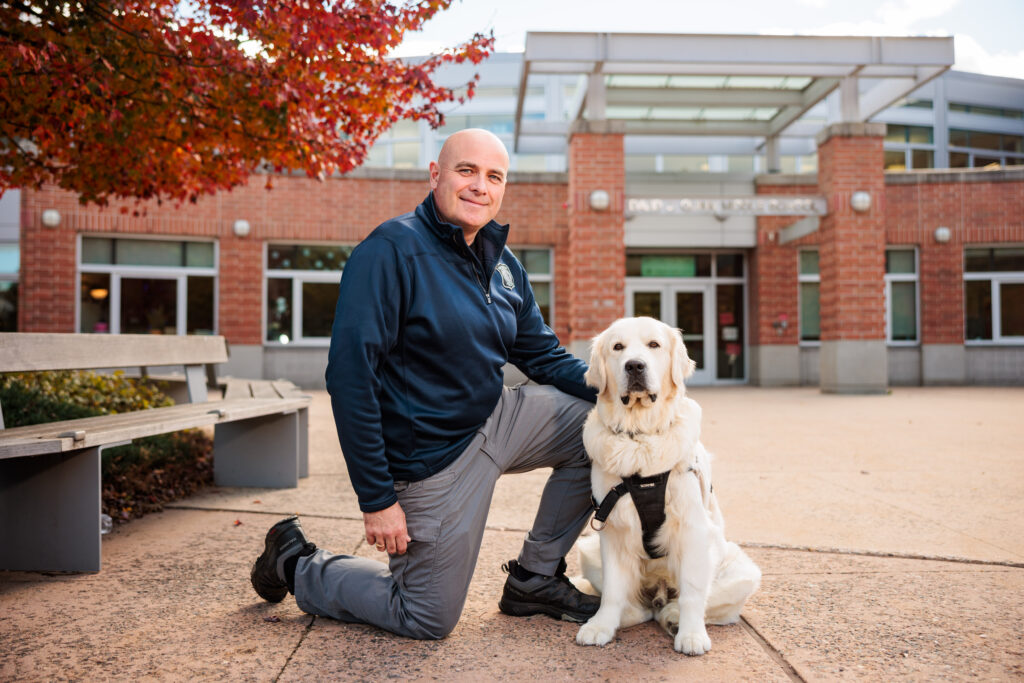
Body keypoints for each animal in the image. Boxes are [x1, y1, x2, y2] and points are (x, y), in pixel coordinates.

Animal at [577, 317, 761, 655]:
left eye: (654, 345)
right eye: (618, 347)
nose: (635, 366)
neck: (640, 436)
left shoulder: (692, 529)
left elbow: (692, 592)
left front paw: (691, 635)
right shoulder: (612, 530)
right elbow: (612, 590)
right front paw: (600, 626)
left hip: (741, 571)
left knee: (698, 605)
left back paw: (675, 618)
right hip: (588, 550)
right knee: (641, 608)